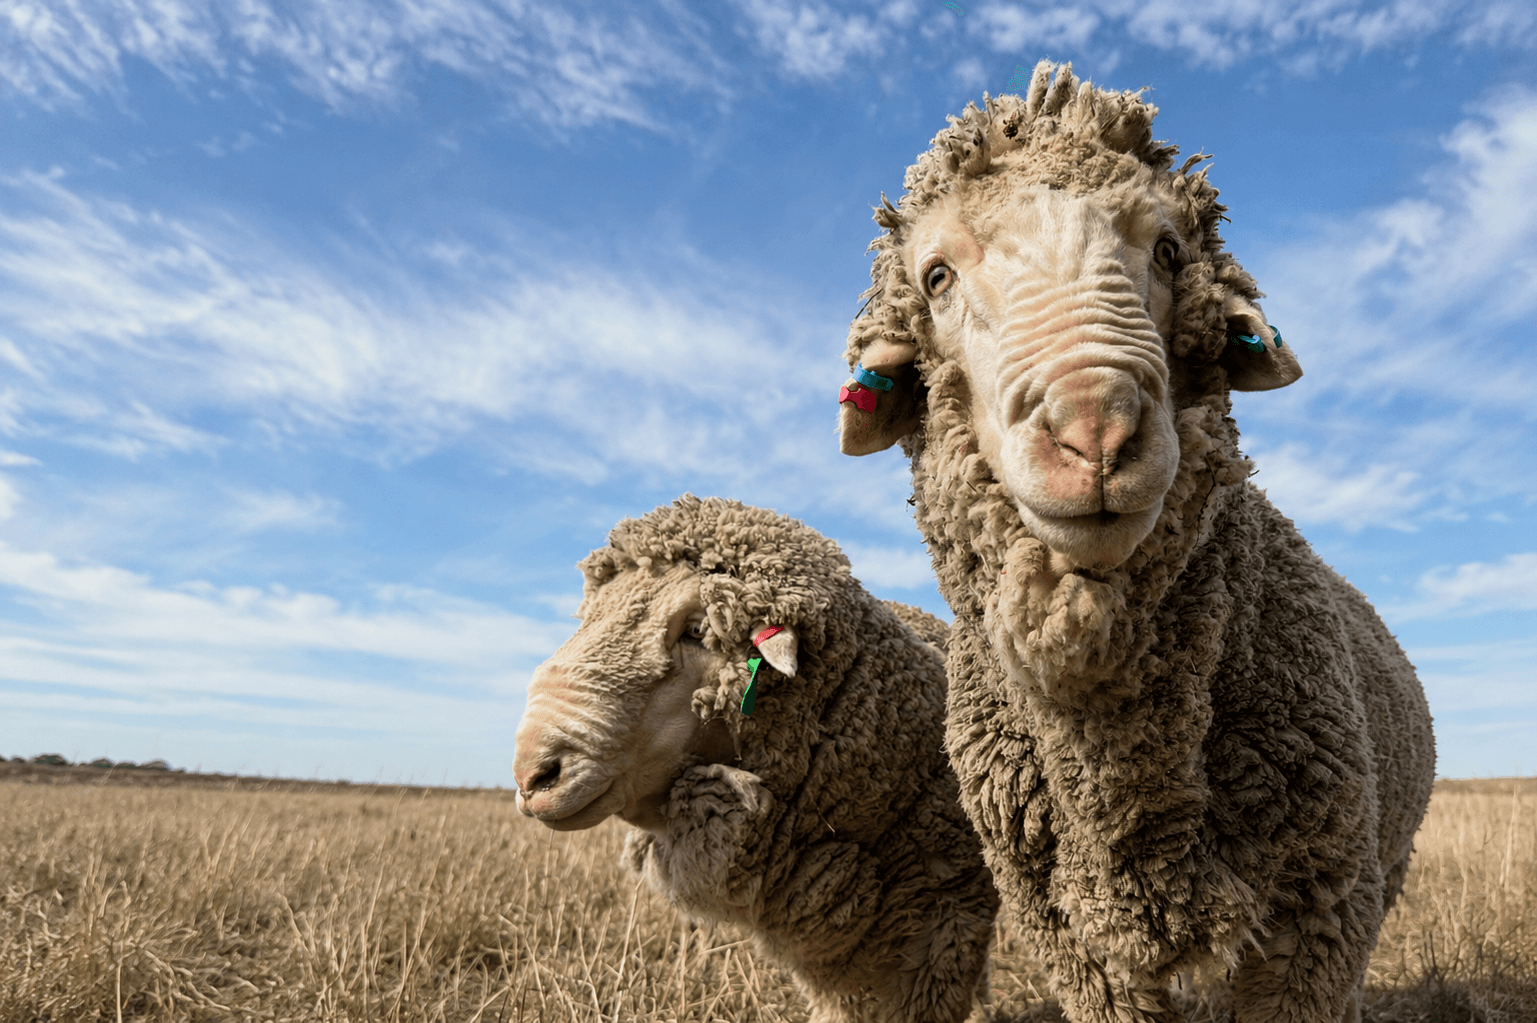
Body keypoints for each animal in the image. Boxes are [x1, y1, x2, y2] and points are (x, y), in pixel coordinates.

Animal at [837, 61, 1435, 1023]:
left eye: (1168, 252)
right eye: (934, 277)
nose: (1095, 429)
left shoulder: (1318, 915)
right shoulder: (1079, 949)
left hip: (1386, 866)